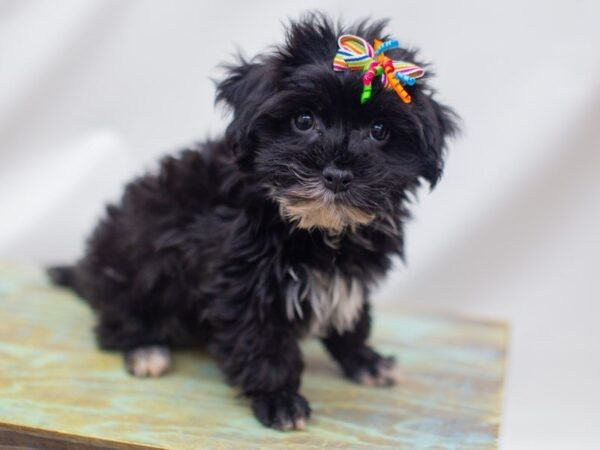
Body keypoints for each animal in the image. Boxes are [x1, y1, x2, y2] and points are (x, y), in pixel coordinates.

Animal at [49, 13, 458, 428]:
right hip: (136, 259)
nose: (338, 174)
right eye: (303, 120)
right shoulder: (242, 280)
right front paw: (278, 398)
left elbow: (352, 317)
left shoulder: (349, 277)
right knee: (115, 320)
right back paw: (145, 348)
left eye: (379, 131)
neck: (318, 230)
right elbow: (263, 342)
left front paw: (363, 359)